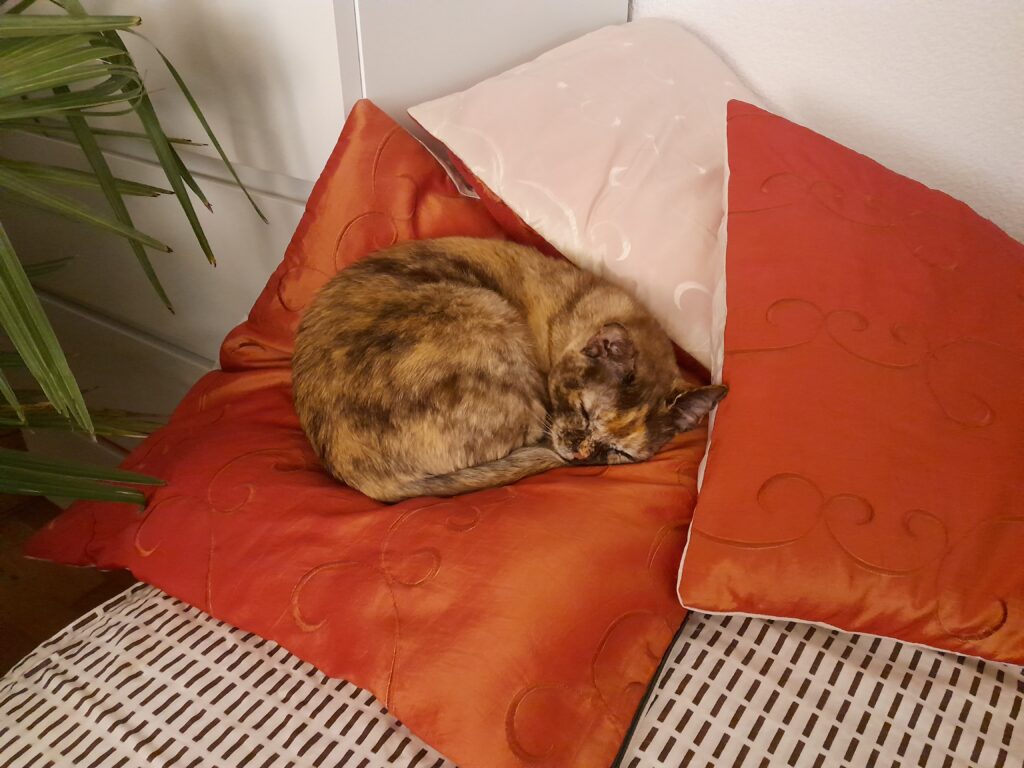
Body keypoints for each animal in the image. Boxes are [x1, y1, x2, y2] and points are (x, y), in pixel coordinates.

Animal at [292, 237, 726, 502]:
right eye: (585, 413)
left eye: (619, 452)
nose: (579, 455)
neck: (570, 310)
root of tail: (365, 477)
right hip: (489, 311)